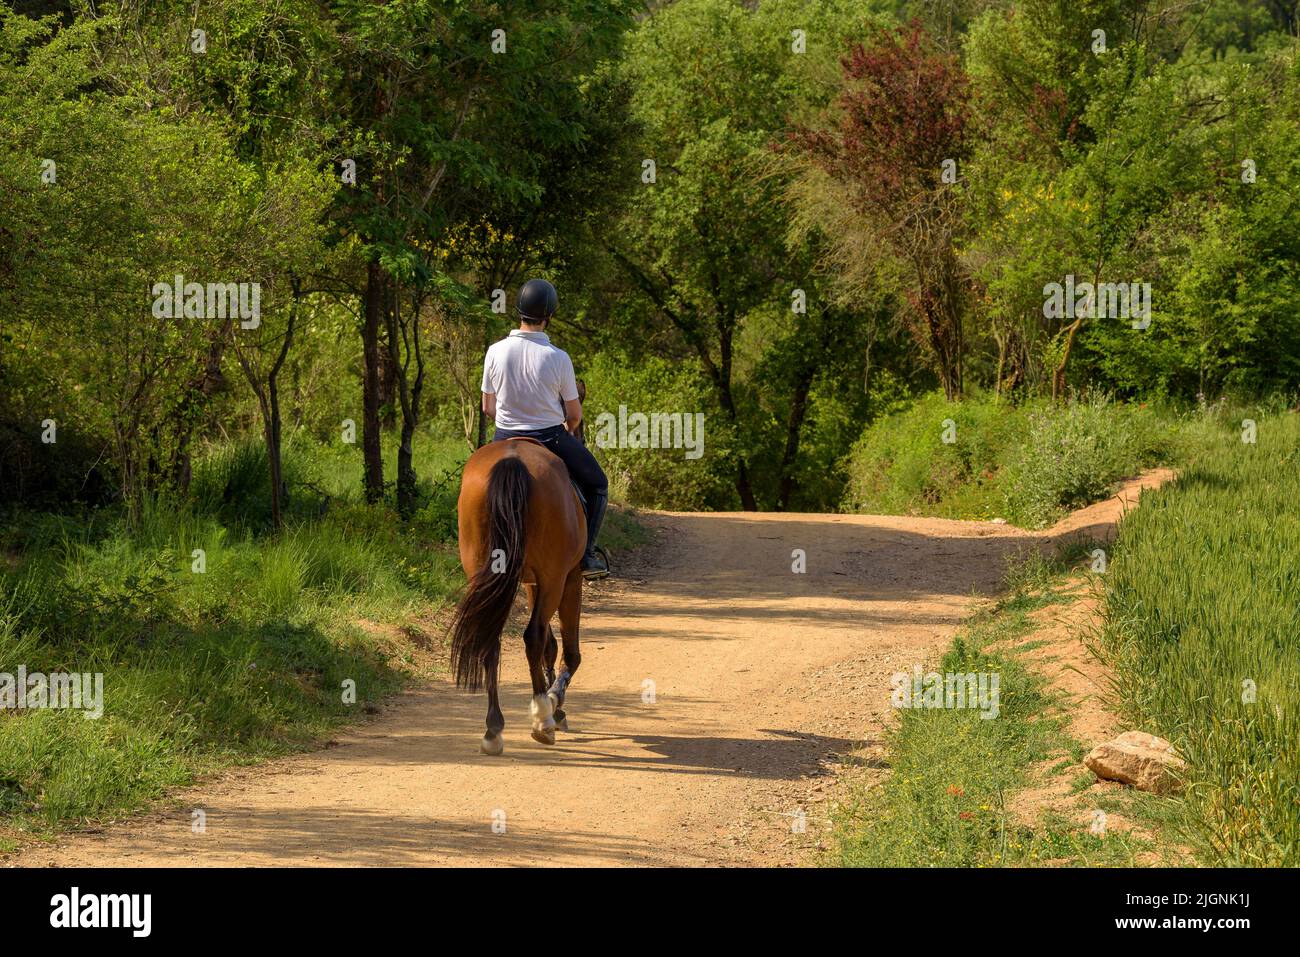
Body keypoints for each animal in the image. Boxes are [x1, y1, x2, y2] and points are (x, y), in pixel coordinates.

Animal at [449, 434, 587, 754]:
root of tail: (512, 459)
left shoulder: (531, 583)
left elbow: (551, 645)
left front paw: (554, 701)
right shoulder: (568, 578)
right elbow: (568, 651)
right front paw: (555, 702)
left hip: (483, 570)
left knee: (491, 638)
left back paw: (493, 729)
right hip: (554, 577)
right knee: (533, 637)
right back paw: (542, 720)